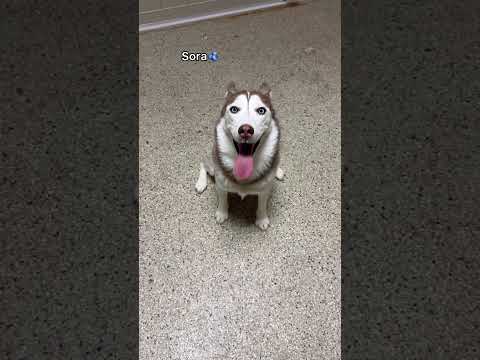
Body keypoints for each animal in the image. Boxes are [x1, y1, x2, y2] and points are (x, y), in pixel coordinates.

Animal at [196, 81, 284, 229]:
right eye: (234, 109)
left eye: (261, 110)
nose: (246, 130)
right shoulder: (221, 184)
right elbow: (223, 200)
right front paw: (222, 213)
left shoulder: (265, 189)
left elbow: (262, 205)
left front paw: (262, 219)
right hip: (213, 162)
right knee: (203, 163)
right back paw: (201, 183)